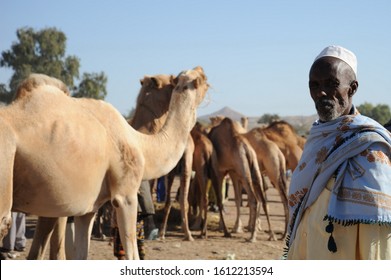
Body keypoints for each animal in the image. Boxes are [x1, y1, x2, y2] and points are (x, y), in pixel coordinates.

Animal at [0, 68, 208, 260]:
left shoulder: (87, 209)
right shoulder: (125, 195)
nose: (202, 71)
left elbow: (81, 254)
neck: (140, 143)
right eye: (196, 80)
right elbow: (132, 254)